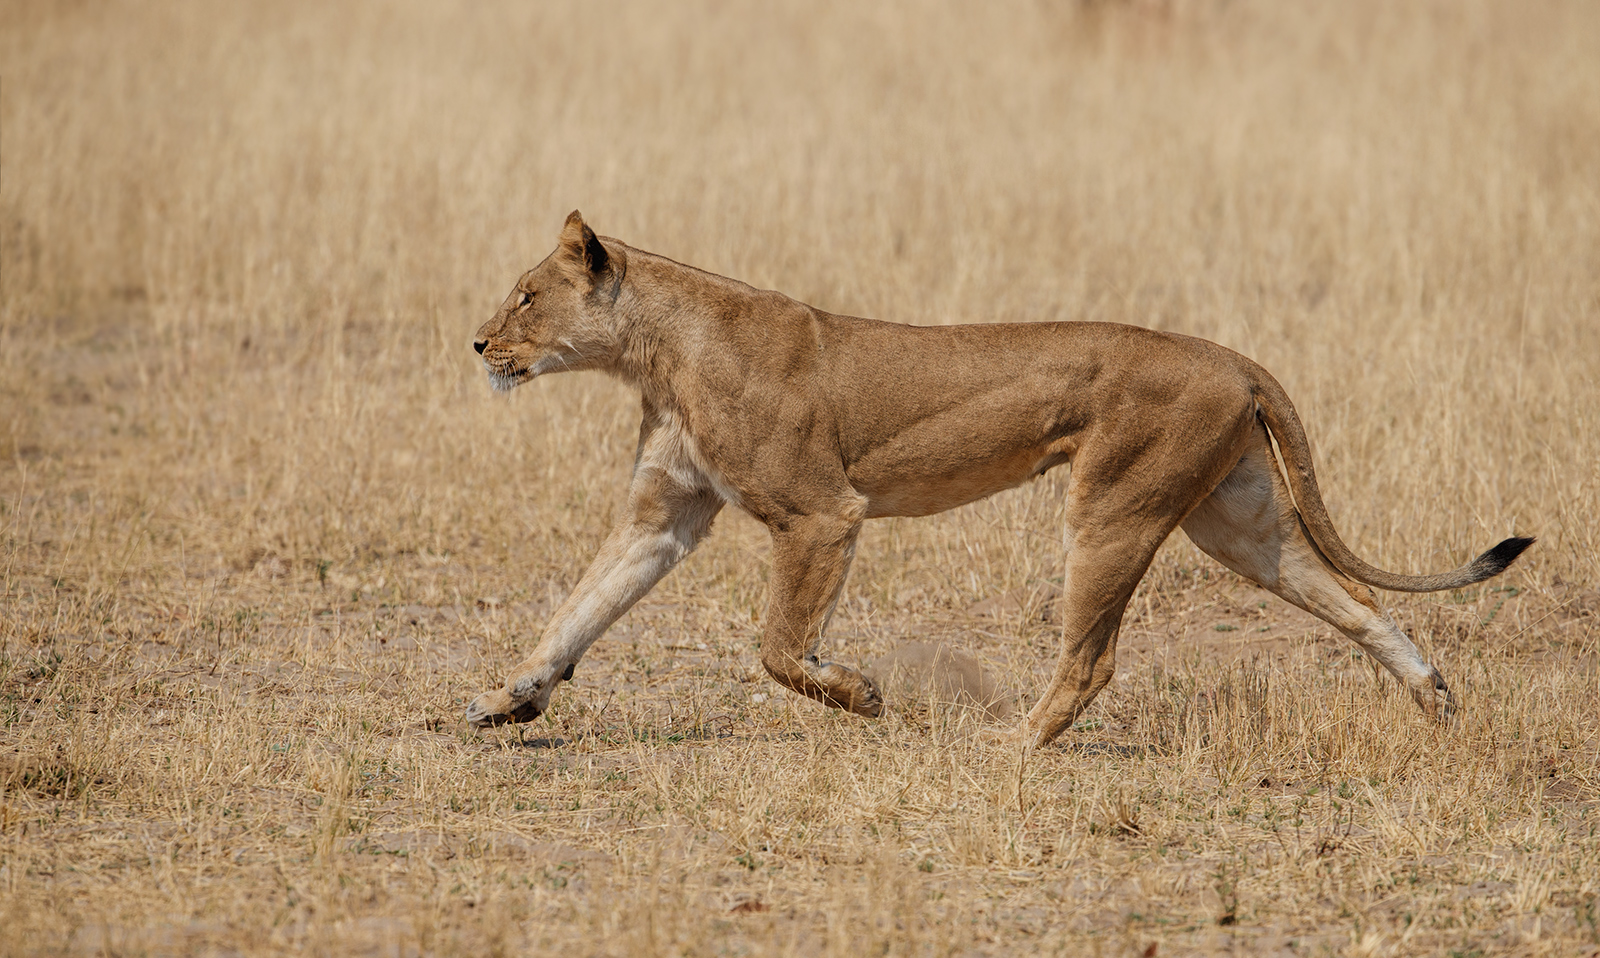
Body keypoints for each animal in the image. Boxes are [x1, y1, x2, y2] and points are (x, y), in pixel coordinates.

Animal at [465, 211, 1532, 748]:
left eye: (525, 297)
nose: (476, 344)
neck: (656, 351)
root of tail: (1232, 355)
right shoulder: (665, 511)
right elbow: (580, 607)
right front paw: (510, 700)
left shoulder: (821, 513)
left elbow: (776, 647)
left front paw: (861, 696)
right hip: (1238, 524)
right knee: (1356, 602)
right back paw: (1436, 701)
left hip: (1112, 510)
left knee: (1093, 660)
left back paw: (1009, 746)